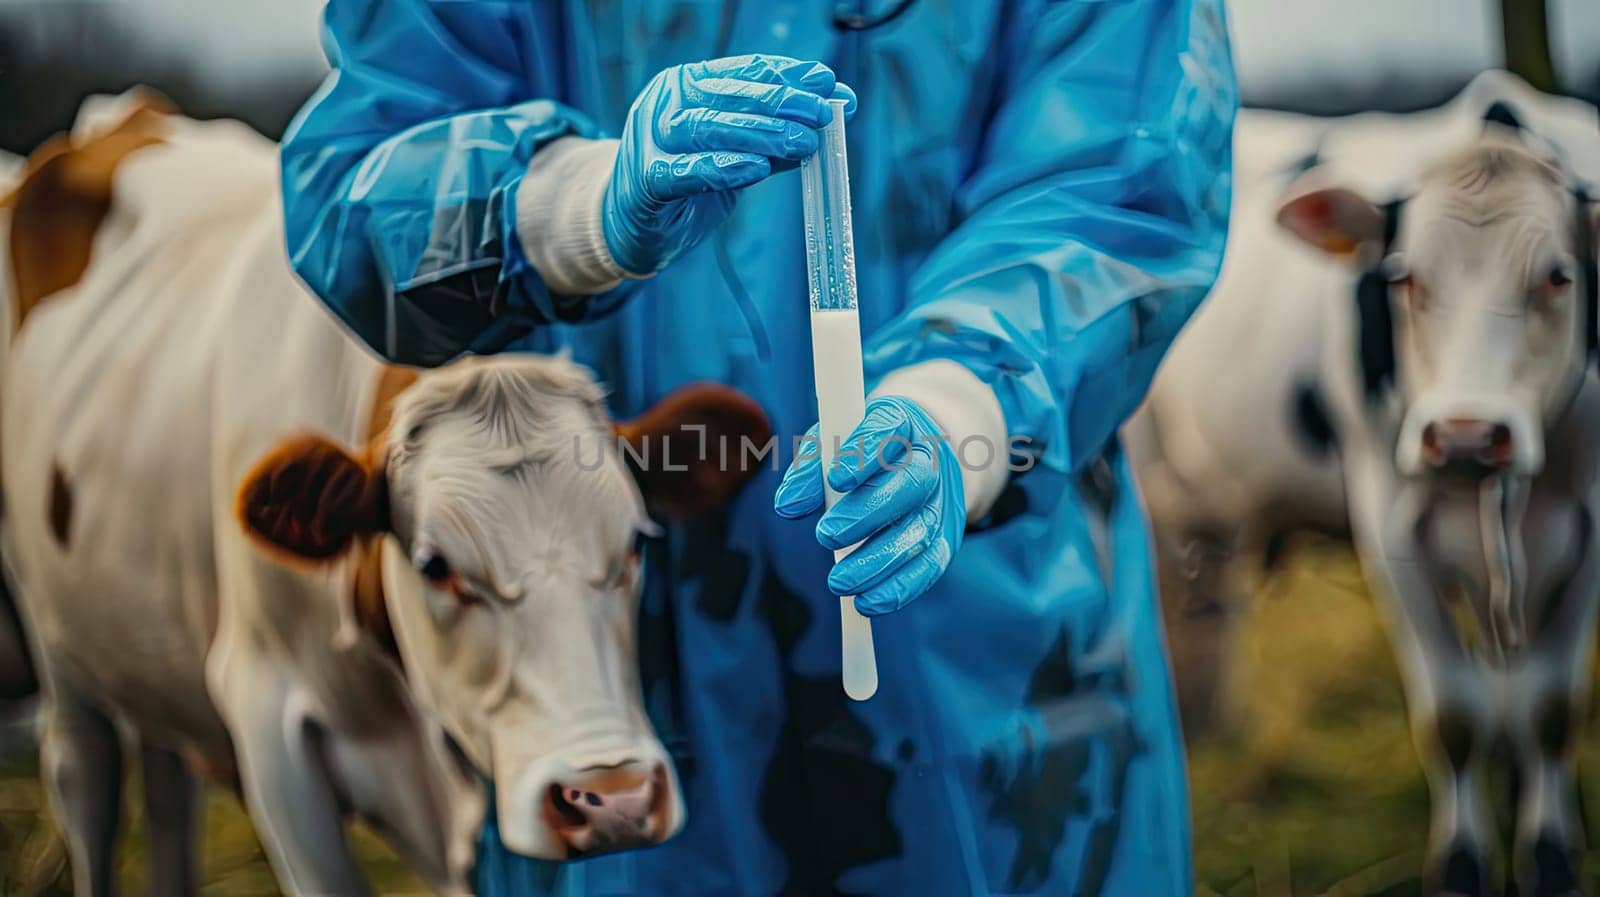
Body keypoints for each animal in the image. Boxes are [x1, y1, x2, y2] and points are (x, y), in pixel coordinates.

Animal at [0, 94, 768, 889]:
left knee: (167, 796)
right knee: (85, 781)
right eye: (435, 565)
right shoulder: (268, 725)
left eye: (635, 545)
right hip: (54, 642)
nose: (614, 798)